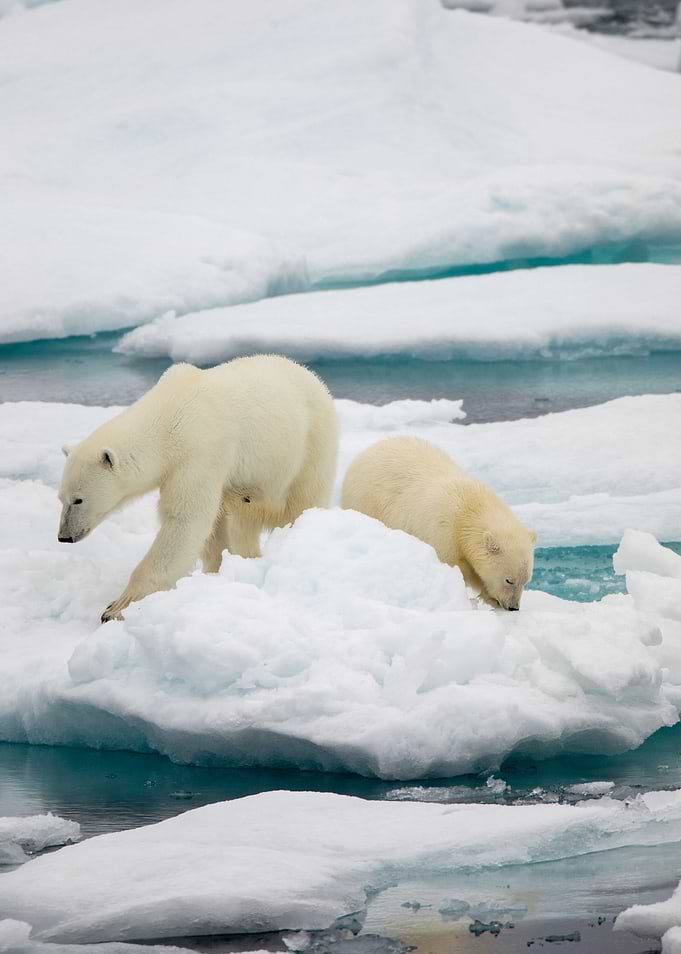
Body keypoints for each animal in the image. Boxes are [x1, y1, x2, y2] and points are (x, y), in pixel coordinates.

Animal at [58, 354, 338, 622]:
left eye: (78, 500)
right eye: (61, 498)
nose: (64, 537)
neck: (168, 415)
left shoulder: (199, 452)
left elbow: (186, 519)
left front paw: (117, 607)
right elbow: (209, 525)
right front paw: (213, 571)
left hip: (308, 447)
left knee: (302, 501)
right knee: (242, 522)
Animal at [341, 436, 535, 610]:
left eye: (526, 580)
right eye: (509, 580)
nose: (513, 607)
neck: (469, 508)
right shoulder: (443, 531)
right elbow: (455, 565)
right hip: (366, 499)